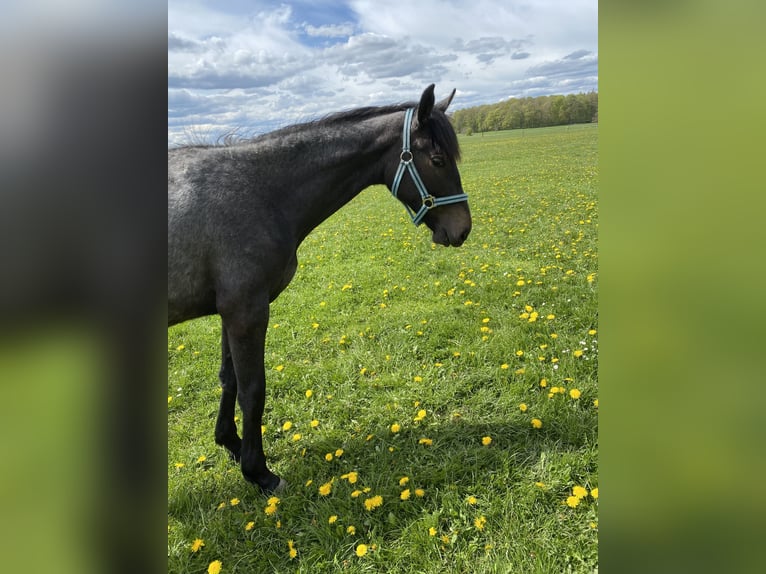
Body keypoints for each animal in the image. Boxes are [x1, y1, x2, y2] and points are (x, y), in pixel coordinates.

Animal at [168, 84, 474, 496]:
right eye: (438, 159)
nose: (462, 228)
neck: (258, 191)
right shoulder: (247, 312)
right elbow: (253, 390)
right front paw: (259, 472)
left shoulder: (230, 313)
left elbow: (229, 379)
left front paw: (231, 444)